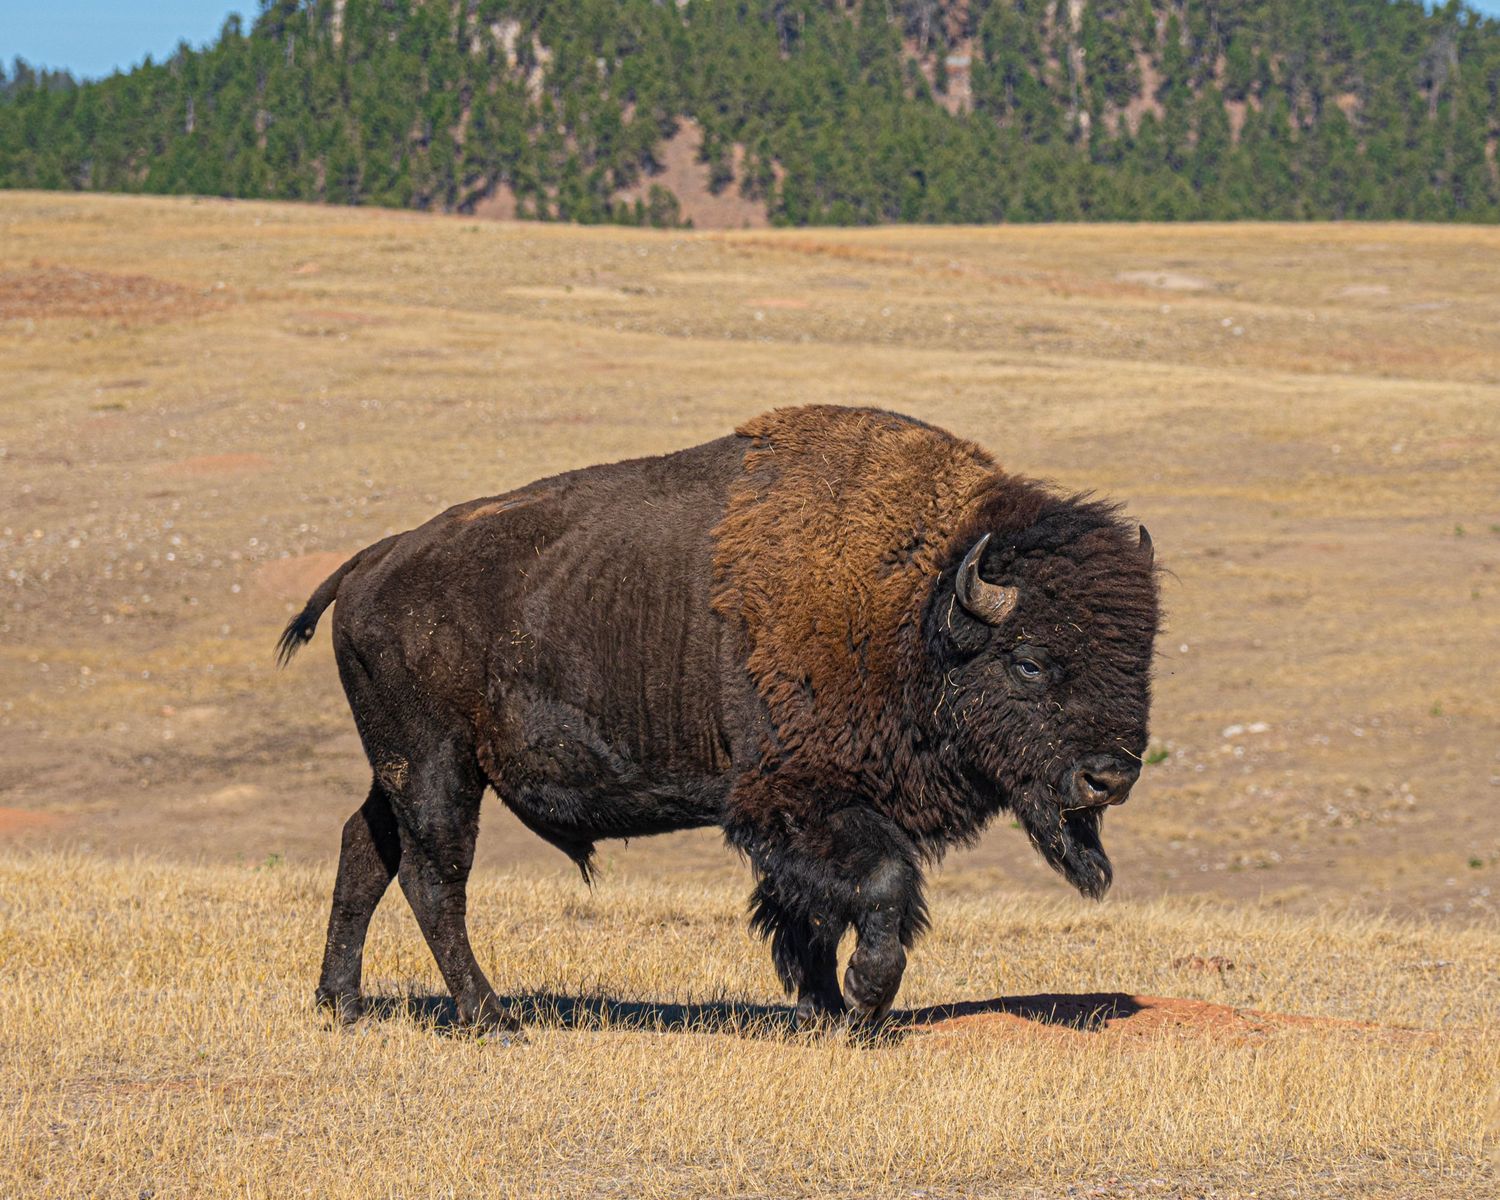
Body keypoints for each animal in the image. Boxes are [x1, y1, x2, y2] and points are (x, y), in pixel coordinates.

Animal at [278, 405, 1160, 1034]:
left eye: (1141, 657)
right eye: (1029, 661)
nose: (1109, 777)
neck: (919, 605)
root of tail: (371, 561)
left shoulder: (802, 821)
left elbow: (810, 910)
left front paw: (824, 1010)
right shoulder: (797, 798)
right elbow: (877, 885)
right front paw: (864, 1003)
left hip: (401, 768)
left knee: (366, 850)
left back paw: (342, 1006)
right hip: (438, 767)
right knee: (434, 878)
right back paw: (491, 1020)